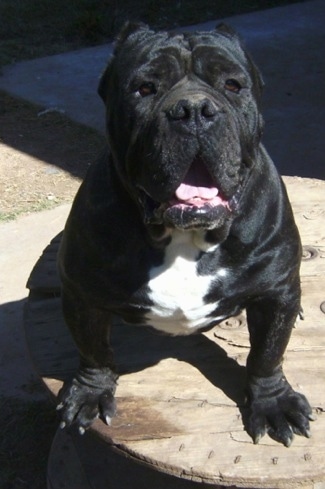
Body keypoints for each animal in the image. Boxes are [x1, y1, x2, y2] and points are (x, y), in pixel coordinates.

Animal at [57, 23, 312, 446]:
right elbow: (93, 350)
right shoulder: (82, 294)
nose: (194, 110)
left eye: (232, 85)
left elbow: (267, 353)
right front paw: (90, 393)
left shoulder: (275, 295)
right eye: (144, 88)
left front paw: (272, 402)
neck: (183, 237)